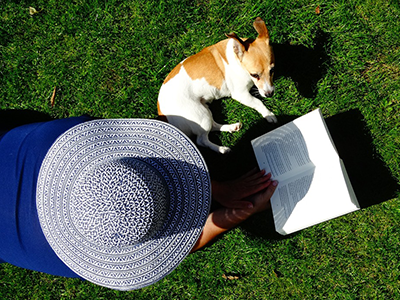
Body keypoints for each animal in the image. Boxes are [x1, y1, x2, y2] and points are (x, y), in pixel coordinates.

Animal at [158, 16, 276, 154]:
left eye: (272, 70)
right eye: (255, 75)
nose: (270, 94)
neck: (237, 59)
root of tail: (161, 112)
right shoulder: (241, 94)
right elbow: (258, 102)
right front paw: (268, 114)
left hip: (205, 110)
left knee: (213, 126)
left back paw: (231, 127)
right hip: (200, 115)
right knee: (201, 140)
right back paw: (222, 149)